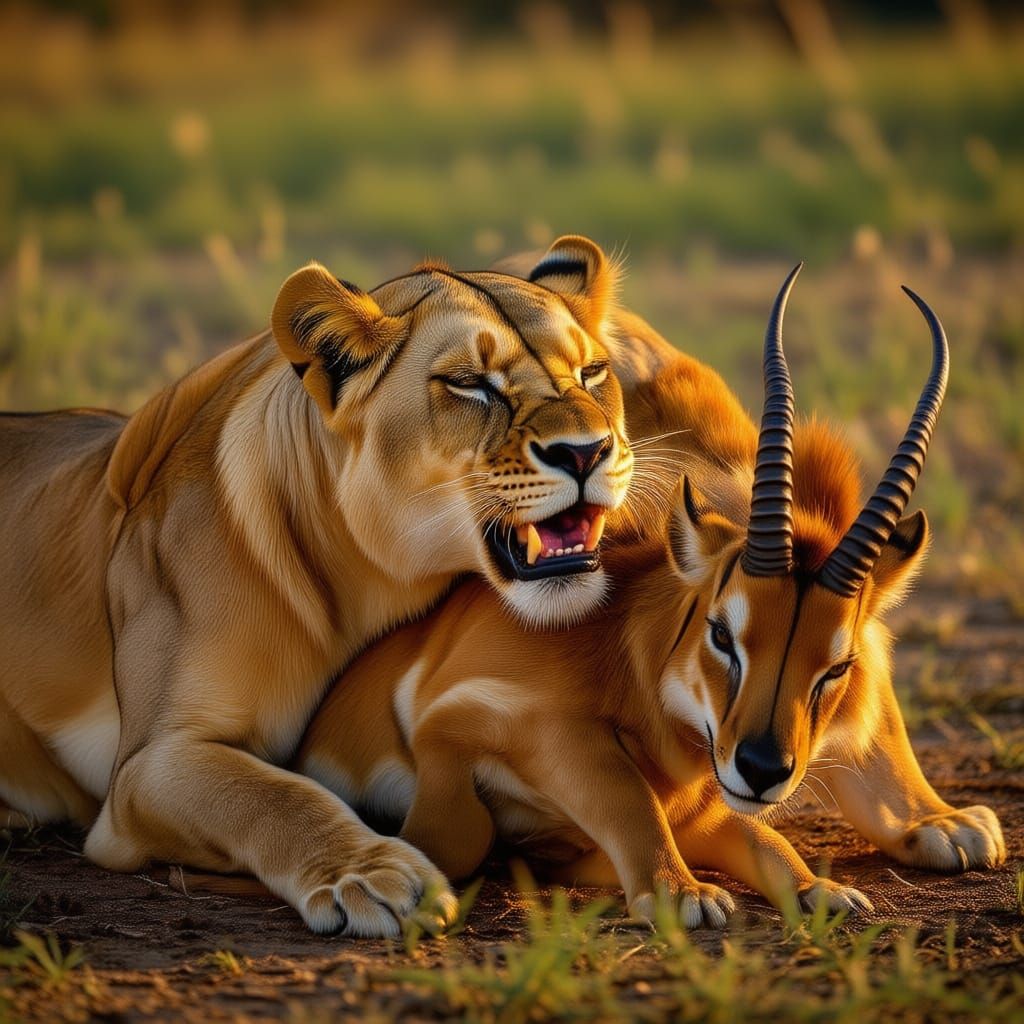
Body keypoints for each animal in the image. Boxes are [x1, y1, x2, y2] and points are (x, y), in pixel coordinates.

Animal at [0, 235, 635, 936]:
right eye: (469, 384)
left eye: (593, 372)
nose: (586, 452)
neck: (364, 584)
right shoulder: (147, 765)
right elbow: (271, 794)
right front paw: (377, 877)